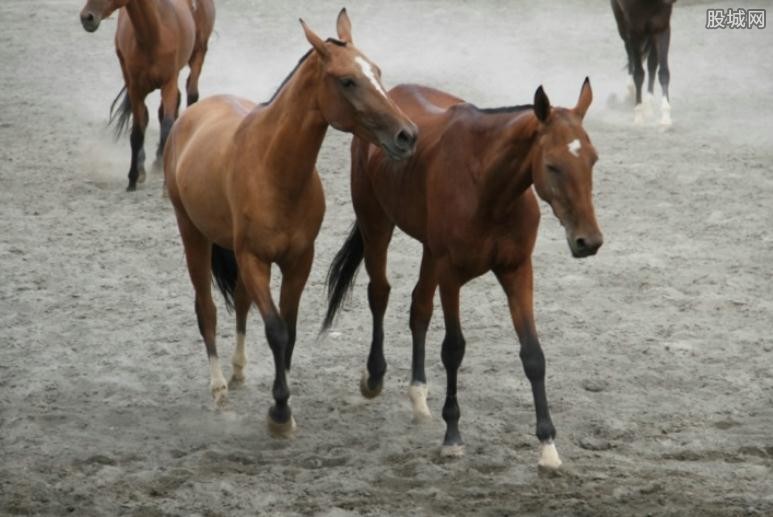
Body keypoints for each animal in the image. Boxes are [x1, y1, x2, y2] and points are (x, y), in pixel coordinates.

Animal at [79, 0, 214, 189]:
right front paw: (134, 177)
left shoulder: (169, 82)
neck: (153, 37)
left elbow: (167, 125)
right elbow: (138, 130)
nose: (87, 17)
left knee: (191, 94)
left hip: (199, 52)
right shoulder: (135, 88)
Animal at [162, 8, 416, 436]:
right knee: (206, 309)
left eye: (377, 71)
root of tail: (192, 115)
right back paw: (219, 390)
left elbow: (290, 329)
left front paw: (284, 397)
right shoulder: (254, 260)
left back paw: (238, 371)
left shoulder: (299, 261)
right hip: (192, 235)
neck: (273, 169)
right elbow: (276, 329)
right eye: (348, 80)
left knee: (241, 302)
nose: (407, 135)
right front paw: (279, 413)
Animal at [322, 77, 600, 468]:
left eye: (593, 159)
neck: (488, 188)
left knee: (419, 308)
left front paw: (548, 446)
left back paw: (418, 395)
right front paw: (452, 435)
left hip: (429, 251)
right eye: (552, 165)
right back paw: (374, 377)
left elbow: (533, 354)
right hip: (376, 223)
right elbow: (453, 348)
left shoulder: (517, 270)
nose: (588, 241)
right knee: (380, 293)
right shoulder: (450, 275)